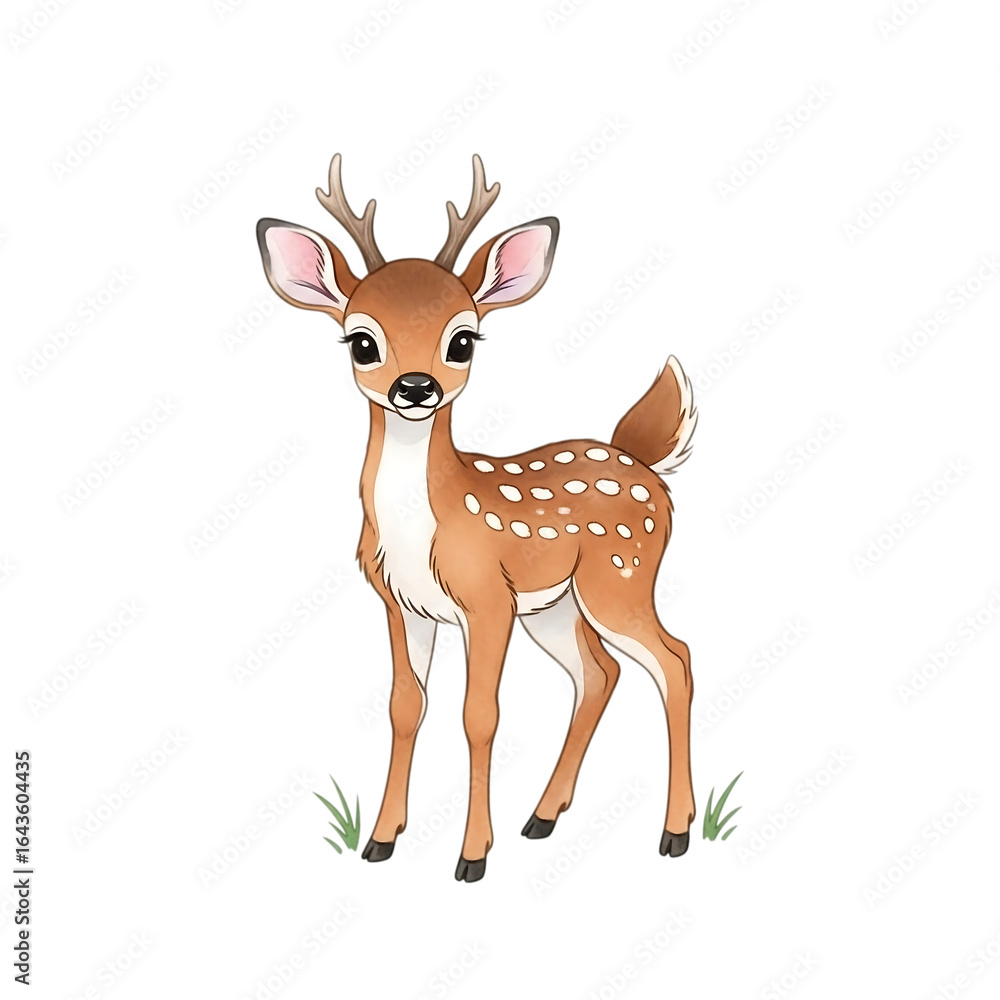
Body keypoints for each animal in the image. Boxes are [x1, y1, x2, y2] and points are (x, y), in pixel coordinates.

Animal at [255, 154, 697, 882]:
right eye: (360, 341)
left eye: (462, 339)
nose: (415, 387)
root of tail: (641, 460)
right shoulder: (400, 604)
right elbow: (406, 707)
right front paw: (381, 840)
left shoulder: (487, 599)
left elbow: (479, 715)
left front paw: (471, 856)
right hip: (557, 605)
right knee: (599, 674)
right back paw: (542, 818)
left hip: (621, 576)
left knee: (674, 660)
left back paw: (677, 832)